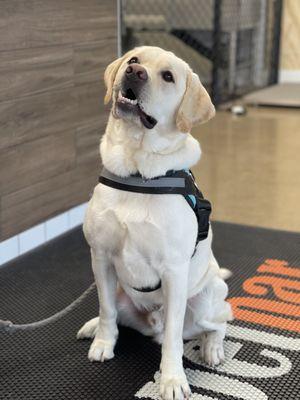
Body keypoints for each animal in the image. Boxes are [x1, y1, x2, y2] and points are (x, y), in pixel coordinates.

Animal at [77, 47, 232, 400]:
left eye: (168, 76)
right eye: (134, 59)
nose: (134, 72)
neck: (137, 172)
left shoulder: (173, 270)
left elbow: (174, 338)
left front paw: (172, 380)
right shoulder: (100, 257)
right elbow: (106, 309)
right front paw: (103, 342)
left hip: (205, 300)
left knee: (219, 322)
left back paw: (213, 348)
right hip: (123, 293)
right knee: (115, 311)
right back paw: (93, 327)